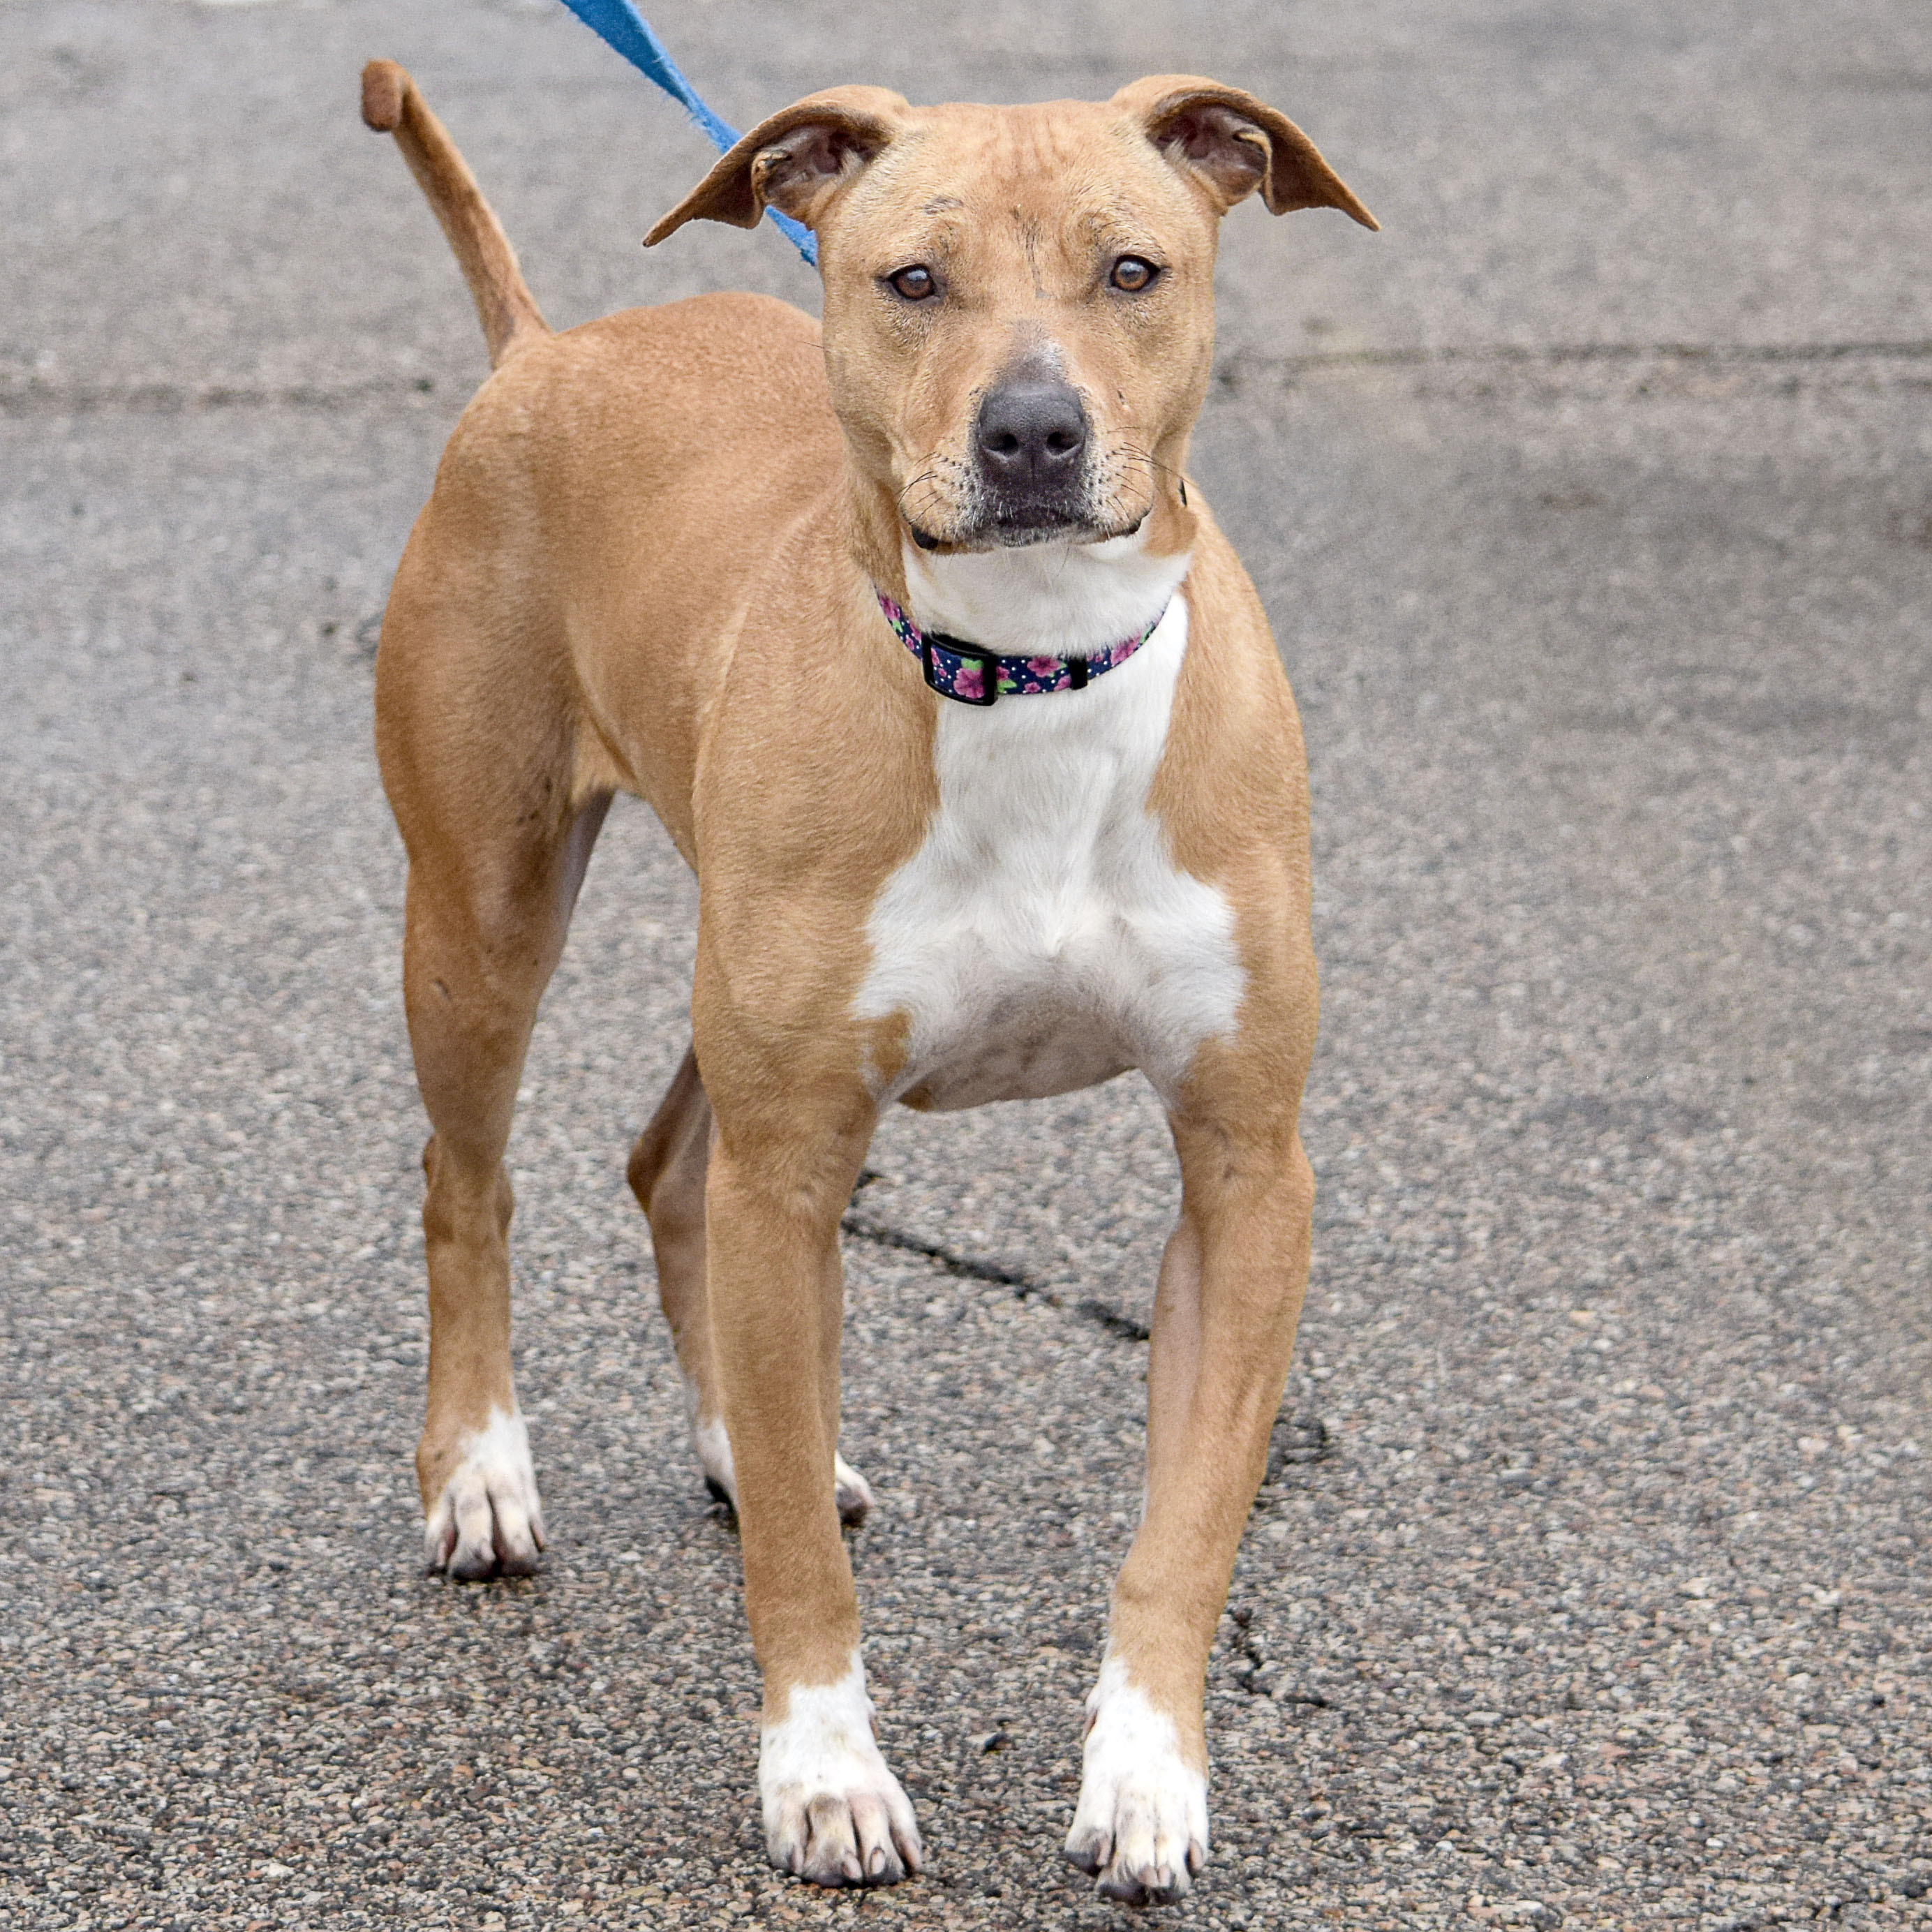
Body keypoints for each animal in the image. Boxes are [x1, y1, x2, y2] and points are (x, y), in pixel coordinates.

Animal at [355, 56, 1367, 1901]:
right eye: (912, 280)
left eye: (1133, 270)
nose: (1031, 432)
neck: (1031, 668)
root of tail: (544, 348)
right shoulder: (794, 1157)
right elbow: (799, 1589)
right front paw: (823, 1778)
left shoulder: (1247, 1169)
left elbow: (1186, 1524)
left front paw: (1147, 1775)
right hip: (481, 917)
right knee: (469, 1181)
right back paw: (478, 1475)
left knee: (666, 1168)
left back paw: (741, 1447)